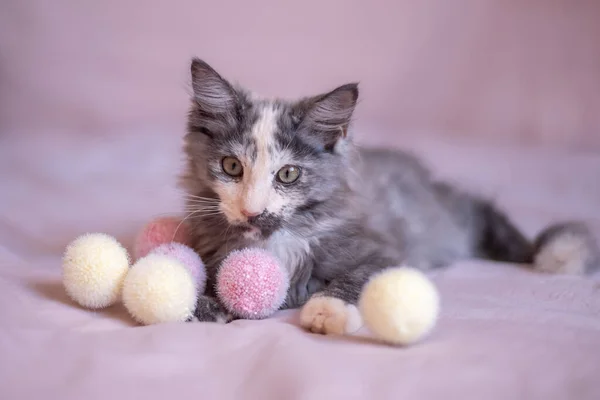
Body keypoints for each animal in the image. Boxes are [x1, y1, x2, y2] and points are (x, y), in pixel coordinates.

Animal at [180, 58, 596, 334]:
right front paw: (201, 304)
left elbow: (355, 277)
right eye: (232, 167)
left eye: (288, 174)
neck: (275, 241)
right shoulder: (211, 247)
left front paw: (326, 309)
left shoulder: (385, 252)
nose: (252, 211)